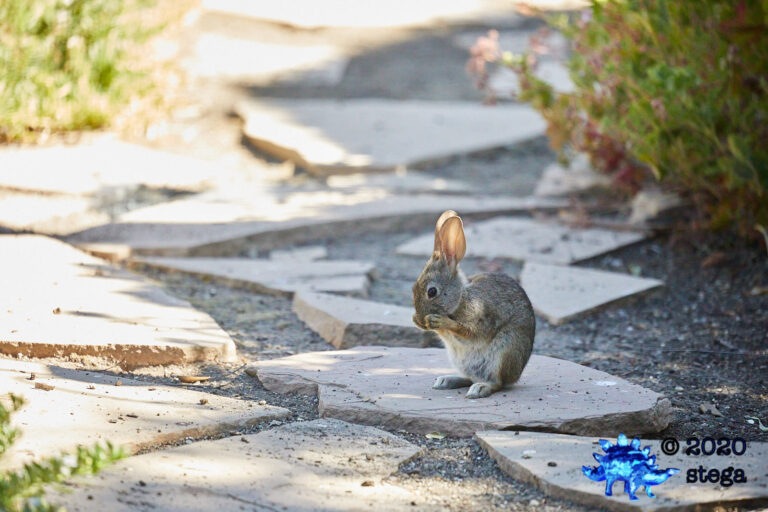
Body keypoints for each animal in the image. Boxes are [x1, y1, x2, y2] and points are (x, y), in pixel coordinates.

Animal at [412, 210, 535, 399]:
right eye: (413, 289)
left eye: (432, 292)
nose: (418, 320)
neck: (461, 298)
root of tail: (516, 375)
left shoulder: (481, 318)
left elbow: (468, 331)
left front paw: (439, 321)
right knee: (469, 378)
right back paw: (446, 381)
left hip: (504, 352)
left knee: (497, 383)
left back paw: (479, 389)